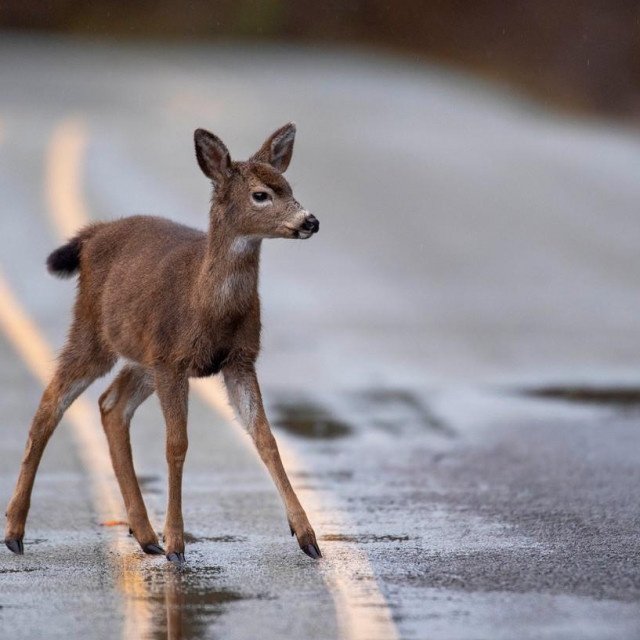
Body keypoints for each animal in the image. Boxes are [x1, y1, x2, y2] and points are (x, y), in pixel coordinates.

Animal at [4, 123, 322, 563]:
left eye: (288, 185)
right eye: (261, 194)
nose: (310, 221)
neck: (208, 305)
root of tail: (91, 234)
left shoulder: (239, 359)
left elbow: (266, 437)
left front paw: (307, 536)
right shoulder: (174, 360)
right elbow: (177, 444)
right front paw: (177, 543)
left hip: (141, 354)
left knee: (111, 405)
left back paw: (144, 534)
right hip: (93, 332)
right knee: (51, 404)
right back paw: (15, 531)